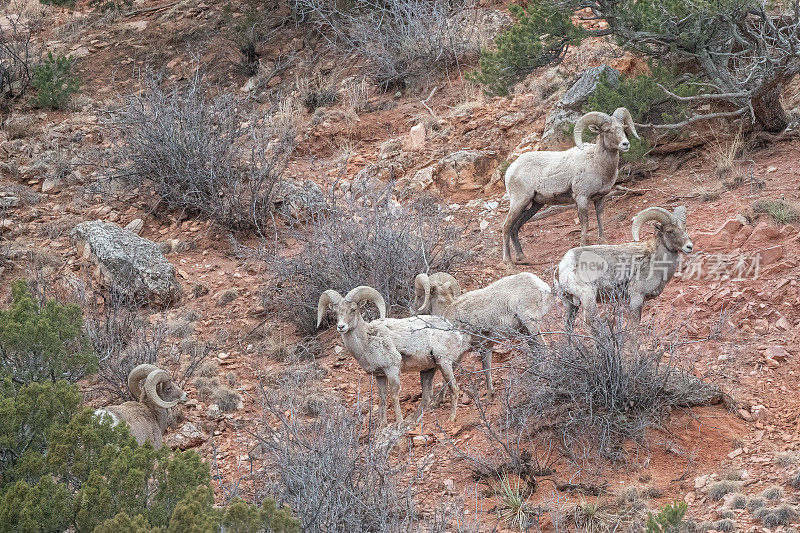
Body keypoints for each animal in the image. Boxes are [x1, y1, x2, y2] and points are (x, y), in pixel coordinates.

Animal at [318, 284, 472, 426]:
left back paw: (451, 418)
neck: (367, 340)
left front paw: (399, 422)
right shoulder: (380, 375)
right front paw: (382, 426)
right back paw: (413, 421)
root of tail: (455, 331)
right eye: (335, 312)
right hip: (427, 370)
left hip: (444, 363)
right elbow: (382, 398)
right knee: (427, 397)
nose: (341, 327)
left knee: (454, 388)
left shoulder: (392, 369)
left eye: (353, 309)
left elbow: (394, 395)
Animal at [416, 272, 552, 396]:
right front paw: (490, 394)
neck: (448, 311)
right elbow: (486, 369)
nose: (415, 311)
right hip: (525, 331)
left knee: (543, 349)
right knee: (535, 350)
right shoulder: (486, 347)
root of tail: (541, 286)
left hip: (531, 324)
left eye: (419, 295)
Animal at [504, 107, 640, 264]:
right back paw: (508, 261)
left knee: (515, 227)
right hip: (519, 201)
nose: (625, 144)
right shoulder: (581, 198)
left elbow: (600, 219)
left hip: (535, 204)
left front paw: (603, 243)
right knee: (506, 226)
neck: (597, 164)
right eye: (607, 130)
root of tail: (510, 170)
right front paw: (582, 246)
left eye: (623, 128)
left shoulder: (600, 198)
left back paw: (522, 258)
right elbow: (585, 223)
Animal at [556, 206, 692, 330]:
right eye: (670, 231)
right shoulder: (637, 297)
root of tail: (561, 267)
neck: (655, 260)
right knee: (588, 325)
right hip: (587, 297)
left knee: (568, 327)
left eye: (684, 229)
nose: (689, 246)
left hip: (570, 305)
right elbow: (633, 329)